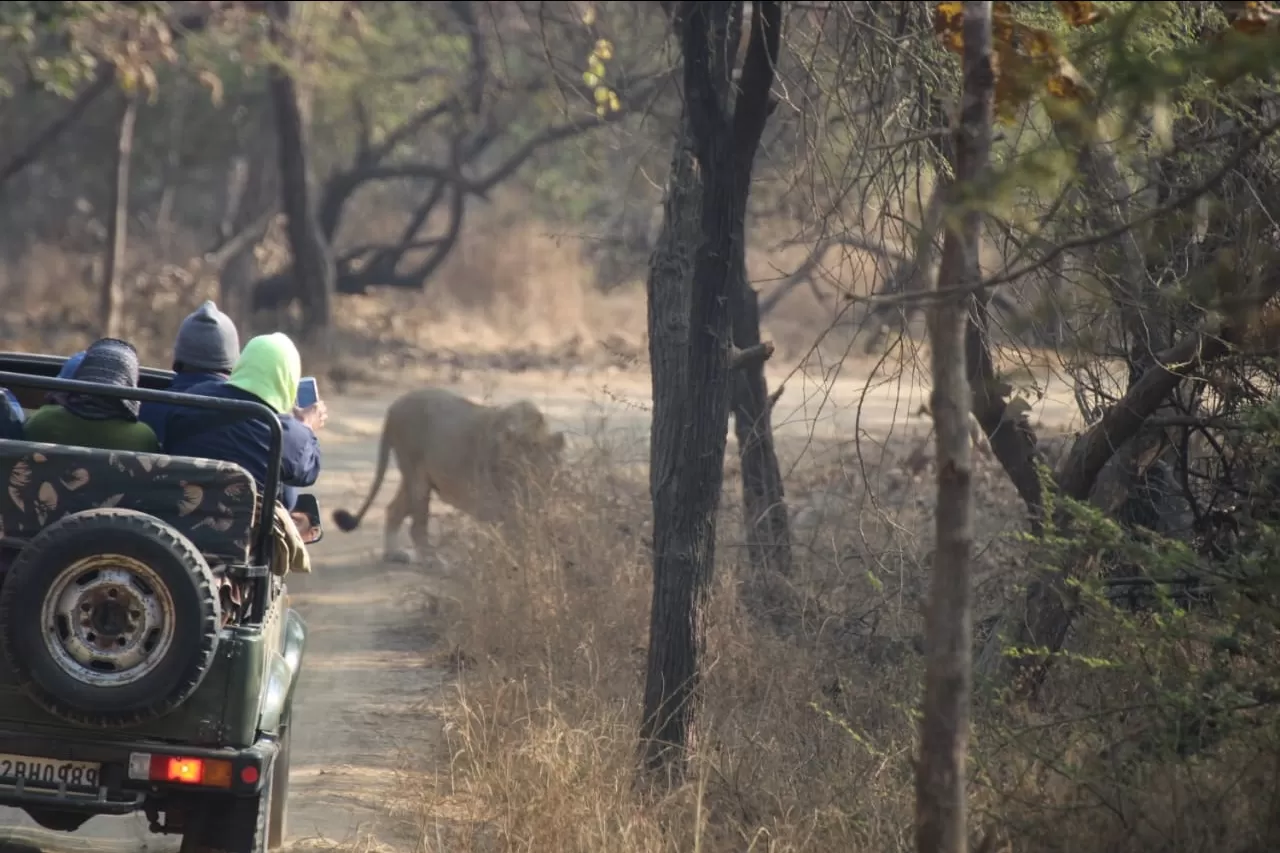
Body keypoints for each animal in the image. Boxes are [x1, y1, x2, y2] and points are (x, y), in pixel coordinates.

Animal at [332, 386, 568, 560]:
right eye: (511, 470)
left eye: (536, 473)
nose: (523, 494)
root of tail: (393, 408)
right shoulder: (495, 502)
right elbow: (513, 532)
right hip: (416, 476)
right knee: (417, 528)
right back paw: (435, 563)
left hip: (415, 478)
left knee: (393, 510)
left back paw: (394, 555)